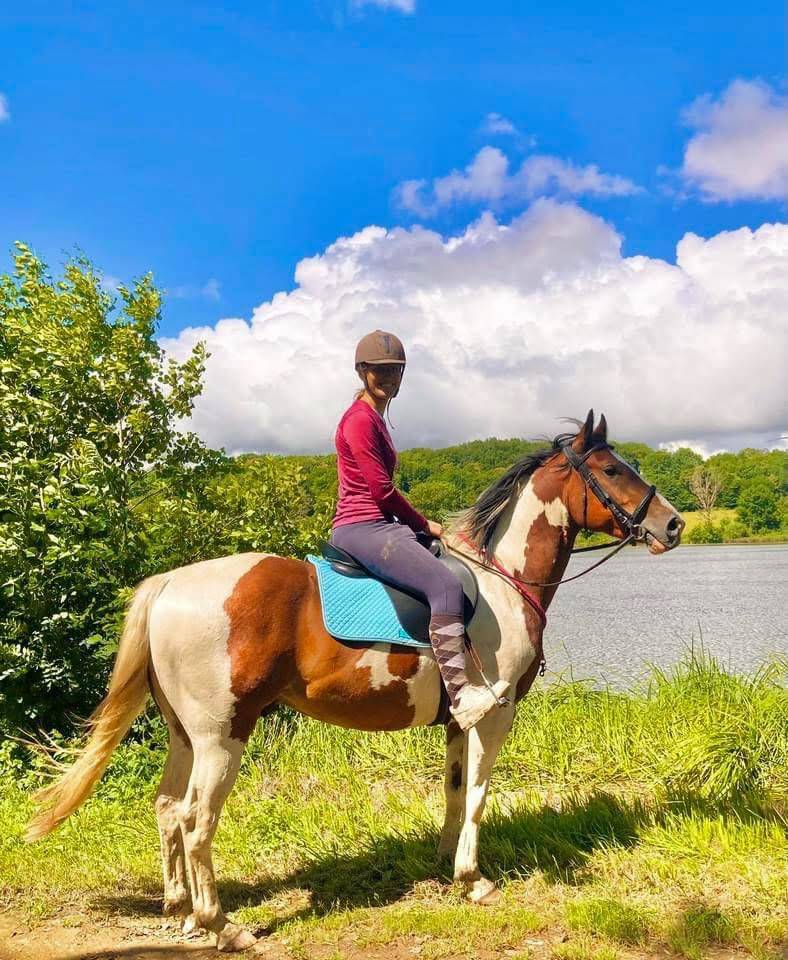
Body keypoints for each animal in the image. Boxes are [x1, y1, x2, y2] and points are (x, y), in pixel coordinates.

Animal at [25, 410, 684, 952]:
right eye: (611, 468)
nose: (674, 525)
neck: (502, 580)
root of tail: (170, 584)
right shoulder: (494, 715)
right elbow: (478, 794)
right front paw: (473, 880)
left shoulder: (457, 721)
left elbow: (452, 791)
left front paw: (444, 865)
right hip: (221, 736)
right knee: (195, 821)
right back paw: (222, 926)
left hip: (184, 734)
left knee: (166, 808)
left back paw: (182, 912)